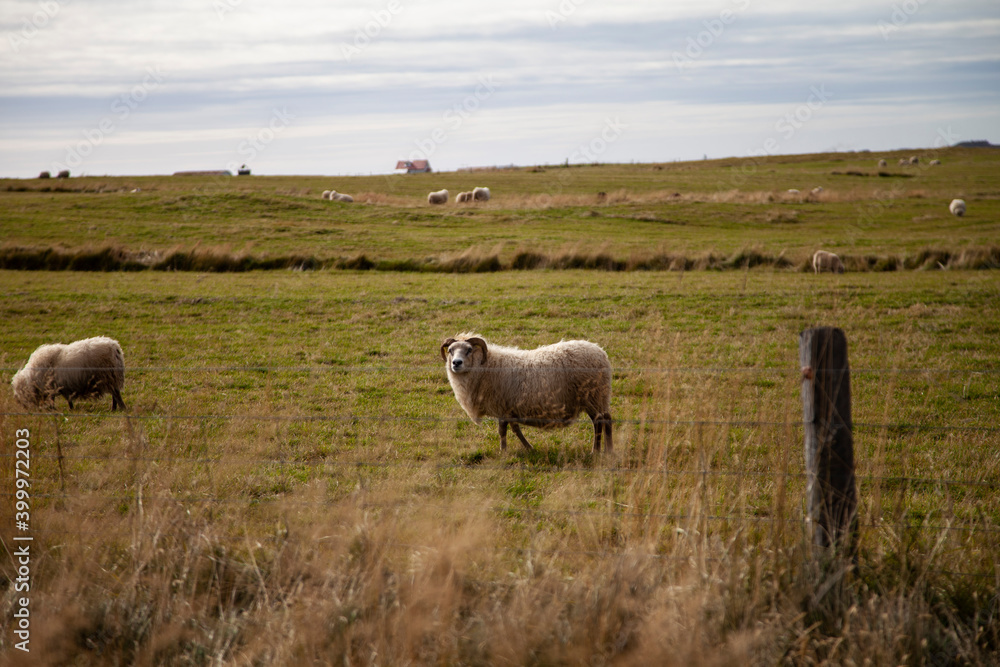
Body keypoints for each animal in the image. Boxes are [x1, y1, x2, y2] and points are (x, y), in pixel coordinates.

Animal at [440, 333, 613, 453]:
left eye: (469, 350)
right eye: (450, 350)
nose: (456, 363)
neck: (486, 366)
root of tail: (601, 353)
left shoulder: (502, 406)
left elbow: (502, 431)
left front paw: (503, 451)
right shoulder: (510, 407)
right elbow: (515, 429)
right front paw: (529, 448)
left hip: (593, 395)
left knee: (600, 421)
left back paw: (598, 451)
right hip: (597, 396)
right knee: (604, 419)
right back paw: (606, 451)